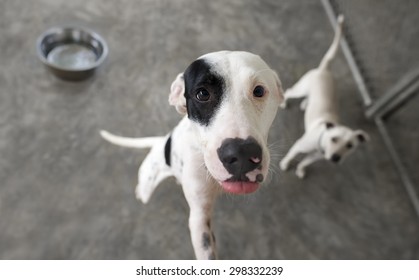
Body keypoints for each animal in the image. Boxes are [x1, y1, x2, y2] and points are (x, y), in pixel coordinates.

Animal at [280, 15, 370, 178]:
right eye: (334, 139)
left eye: (350, 145)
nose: (335, 158)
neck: (321, 143)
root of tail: (325, 70)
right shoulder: (298, 146)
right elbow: (291, 155)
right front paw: (285, 164)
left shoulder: (315, 157)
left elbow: (305, 162)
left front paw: (300, 170)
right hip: (300, 88)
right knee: (289, 91)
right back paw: (284, 102)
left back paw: (305, 104)